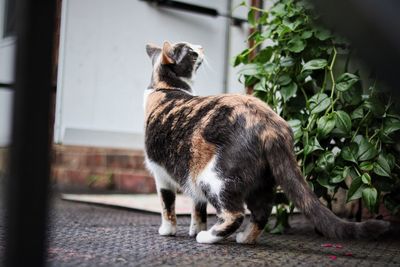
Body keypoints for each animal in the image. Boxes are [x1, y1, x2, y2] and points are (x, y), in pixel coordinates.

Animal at [143, 40, 388, 244]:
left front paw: (169, 230)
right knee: (261, 212)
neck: (165, 88)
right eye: (191, 51)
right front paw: (195, 227)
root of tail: (271, 125)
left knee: (235, 214)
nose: (201, 47)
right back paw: (245, 239)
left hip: (213, 177)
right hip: (260, 181)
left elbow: (167, 205)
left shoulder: (161, 174)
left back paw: (208, 237)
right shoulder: (188, 174)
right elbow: (198, 207)